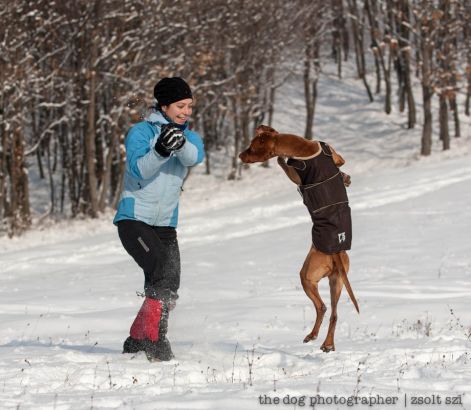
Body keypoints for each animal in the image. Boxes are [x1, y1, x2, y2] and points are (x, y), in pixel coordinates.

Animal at [240, 125, 362, 352]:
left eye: (251, 148)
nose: (239, 156)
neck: (302, 146)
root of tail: (337, 251)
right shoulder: (337, 156)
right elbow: (341, 165)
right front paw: (345, 178)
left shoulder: (297, 176)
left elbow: (285, 166)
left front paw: (281, 159)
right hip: (337, 281)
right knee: (333, 313)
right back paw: (327, 343)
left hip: (307, 276)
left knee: (322, 307)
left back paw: (313, 335)